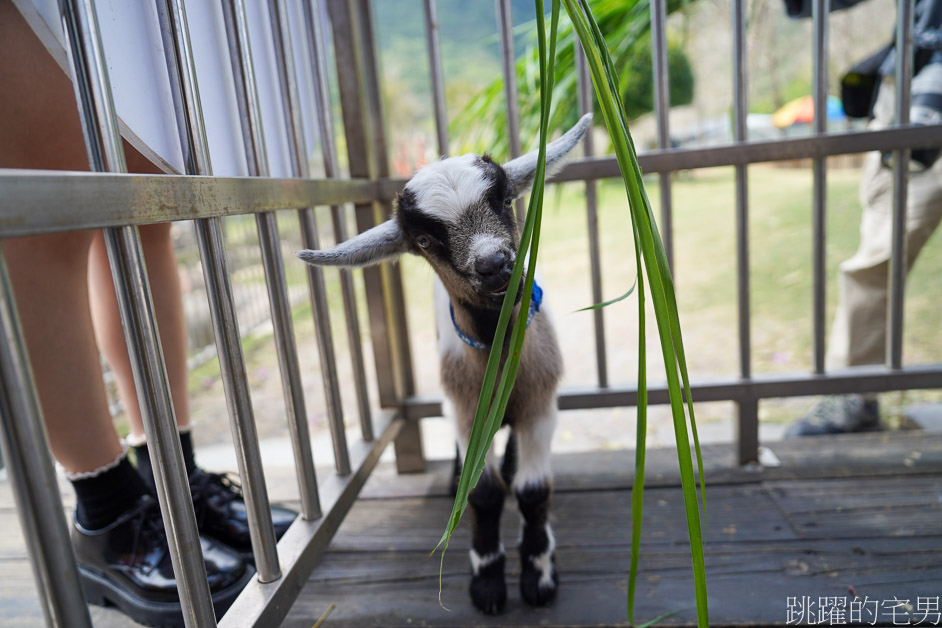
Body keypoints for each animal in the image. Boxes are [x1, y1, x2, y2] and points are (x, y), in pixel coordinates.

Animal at [296, 113, 592, 612]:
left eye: (506, 199)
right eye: (423, 239)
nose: (495, 264)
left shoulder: (540, 405)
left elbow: (533, 493)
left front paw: (538, 574)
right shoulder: (463, 410)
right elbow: (483, 493)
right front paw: (487, 580)